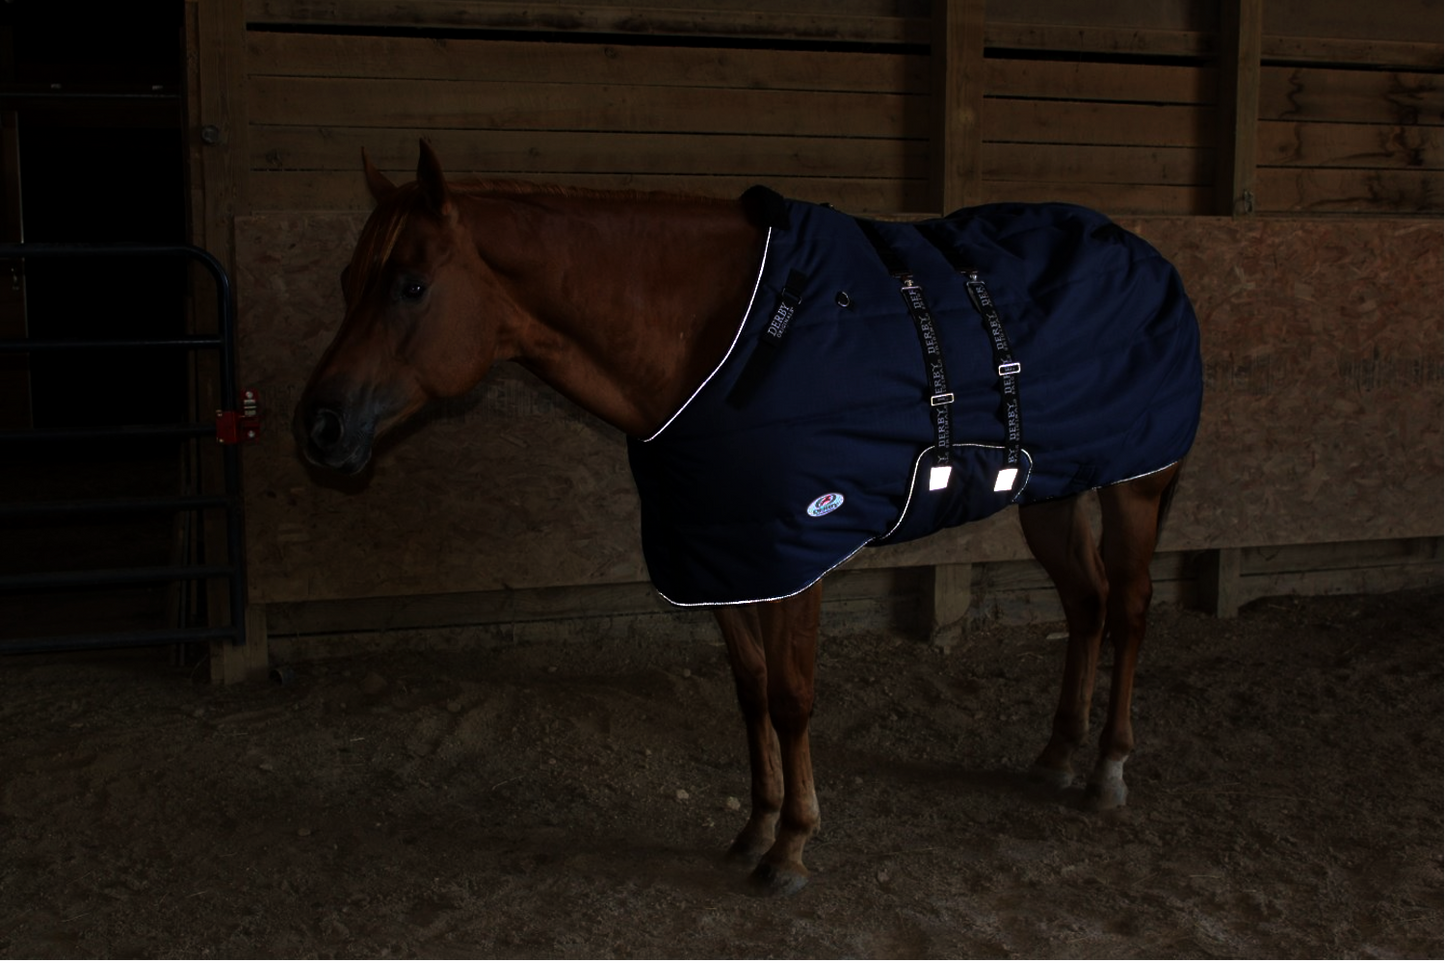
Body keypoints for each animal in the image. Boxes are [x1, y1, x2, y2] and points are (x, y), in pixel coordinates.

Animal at [294, 141, 1203, 896]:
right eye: (343, 281)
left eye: (410, 285)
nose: (319, 427)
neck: (723, 344)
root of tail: (1141, 252)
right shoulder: (720, 554)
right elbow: (750, 692)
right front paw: (756, 825)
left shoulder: (793, 553)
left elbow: (793, 696)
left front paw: (793, 843)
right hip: (1052, 494)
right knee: (1084, 605)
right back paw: (1056, 752)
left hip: (1135, 487)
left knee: (1127, 609)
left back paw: (1106, 769)